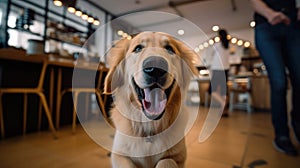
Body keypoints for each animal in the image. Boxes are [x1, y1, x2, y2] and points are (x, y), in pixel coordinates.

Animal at [103, 31, 199, 168]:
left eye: (170, 49)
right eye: (138, 48)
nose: (156, 68)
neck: (150, 128)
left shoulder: (178, 157)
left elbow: (166, 161)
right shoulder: (119, 155)